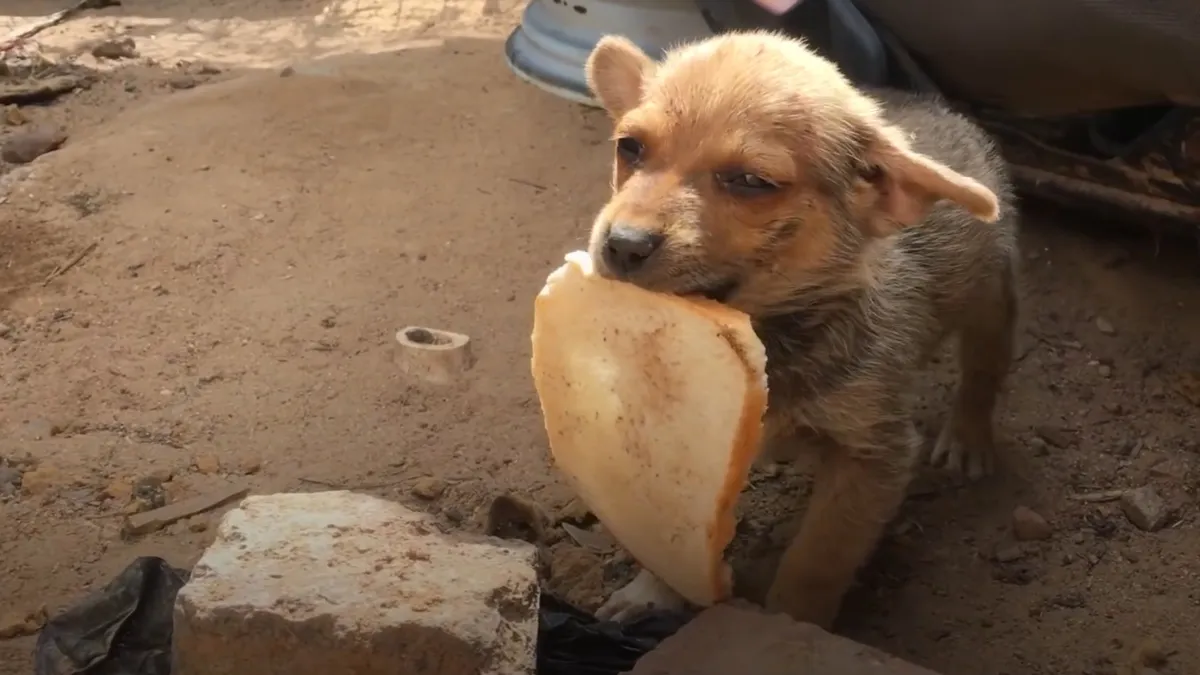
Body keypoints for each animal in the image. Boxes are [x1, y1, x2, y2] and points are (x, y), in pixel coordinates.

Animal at [585, 31, 1017, 629]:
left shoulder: (872, 456)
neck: (769, 341)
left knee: (985, 363)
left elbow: (816, 561)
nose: (622, 244)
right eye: (630, 148)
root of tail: (930, 103)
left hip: (990, 295)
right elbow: (674, 529)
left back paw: (970, 436)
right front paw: (653, 591)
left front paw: (790, 626)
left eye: (750, 182)